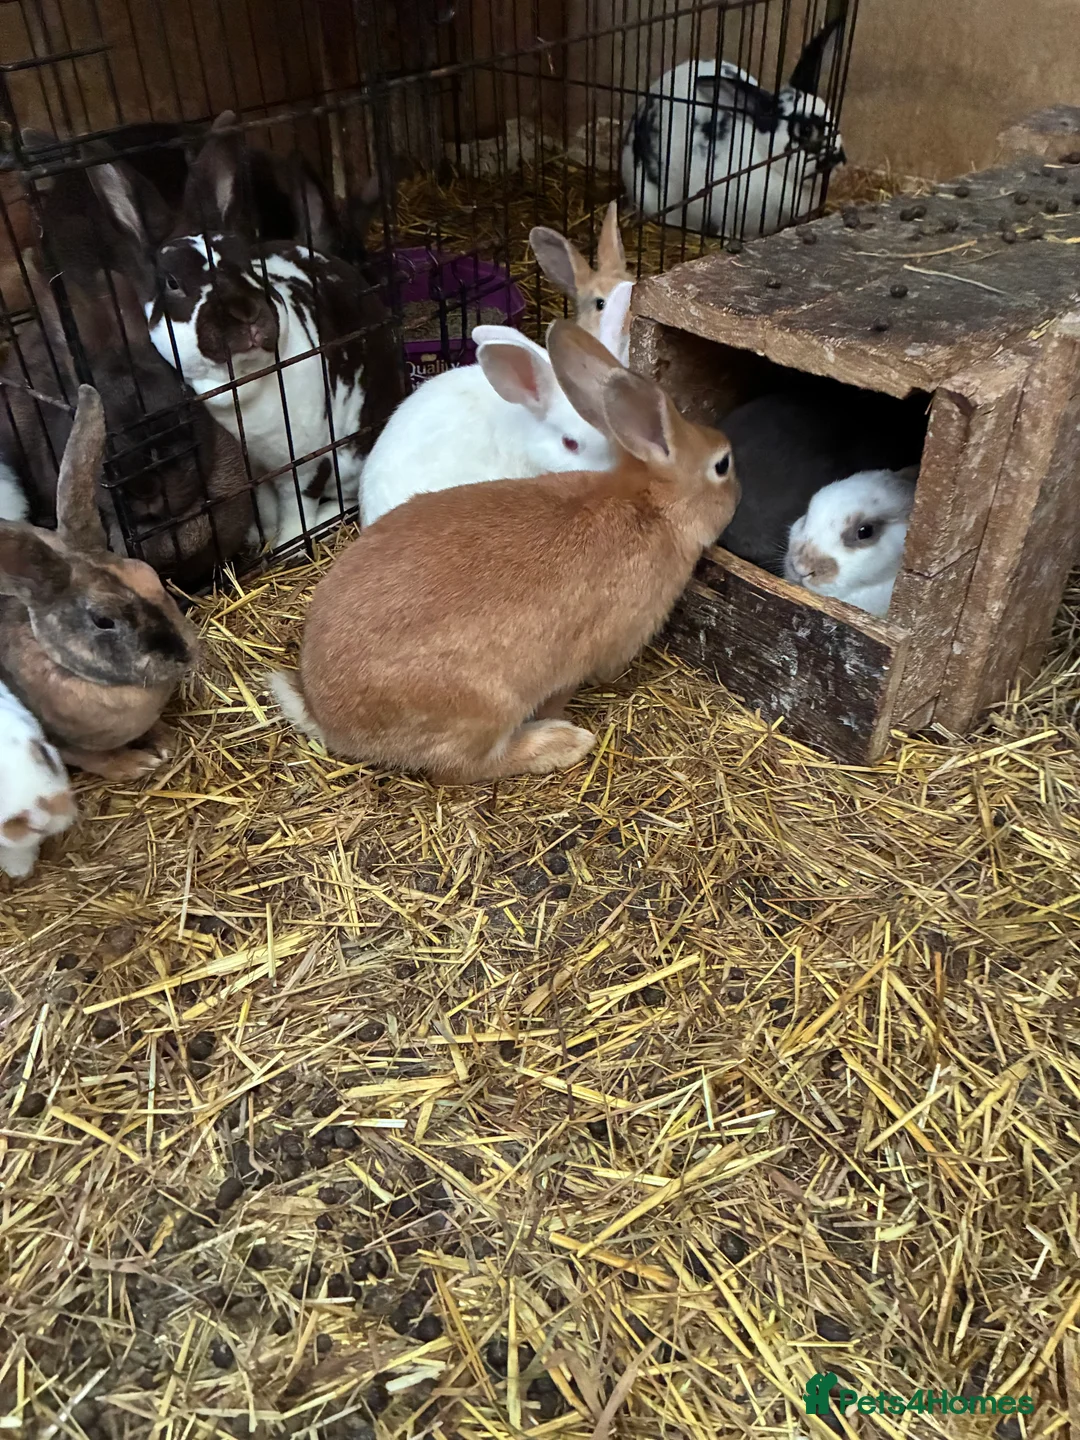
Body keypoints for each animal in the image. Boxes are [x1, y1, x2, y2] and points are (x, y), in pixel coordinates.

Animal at [0, 385, 198, 780]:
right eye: (103, 620)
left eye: (149, 575)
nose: (184, 654)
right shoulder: (65, 745)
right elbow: (100, 760)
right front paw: (139, 763)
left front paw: (164, 741)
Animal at [90, 112, 407, 551]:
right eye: (171, 281)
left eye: (248, 261)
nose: (247, 312)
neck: (237, 382)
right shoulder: (251, 472)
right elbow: (266, 507)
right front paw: (262, 538)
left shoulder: (306, 460)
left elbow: (297, 506)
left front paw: (290, 543)